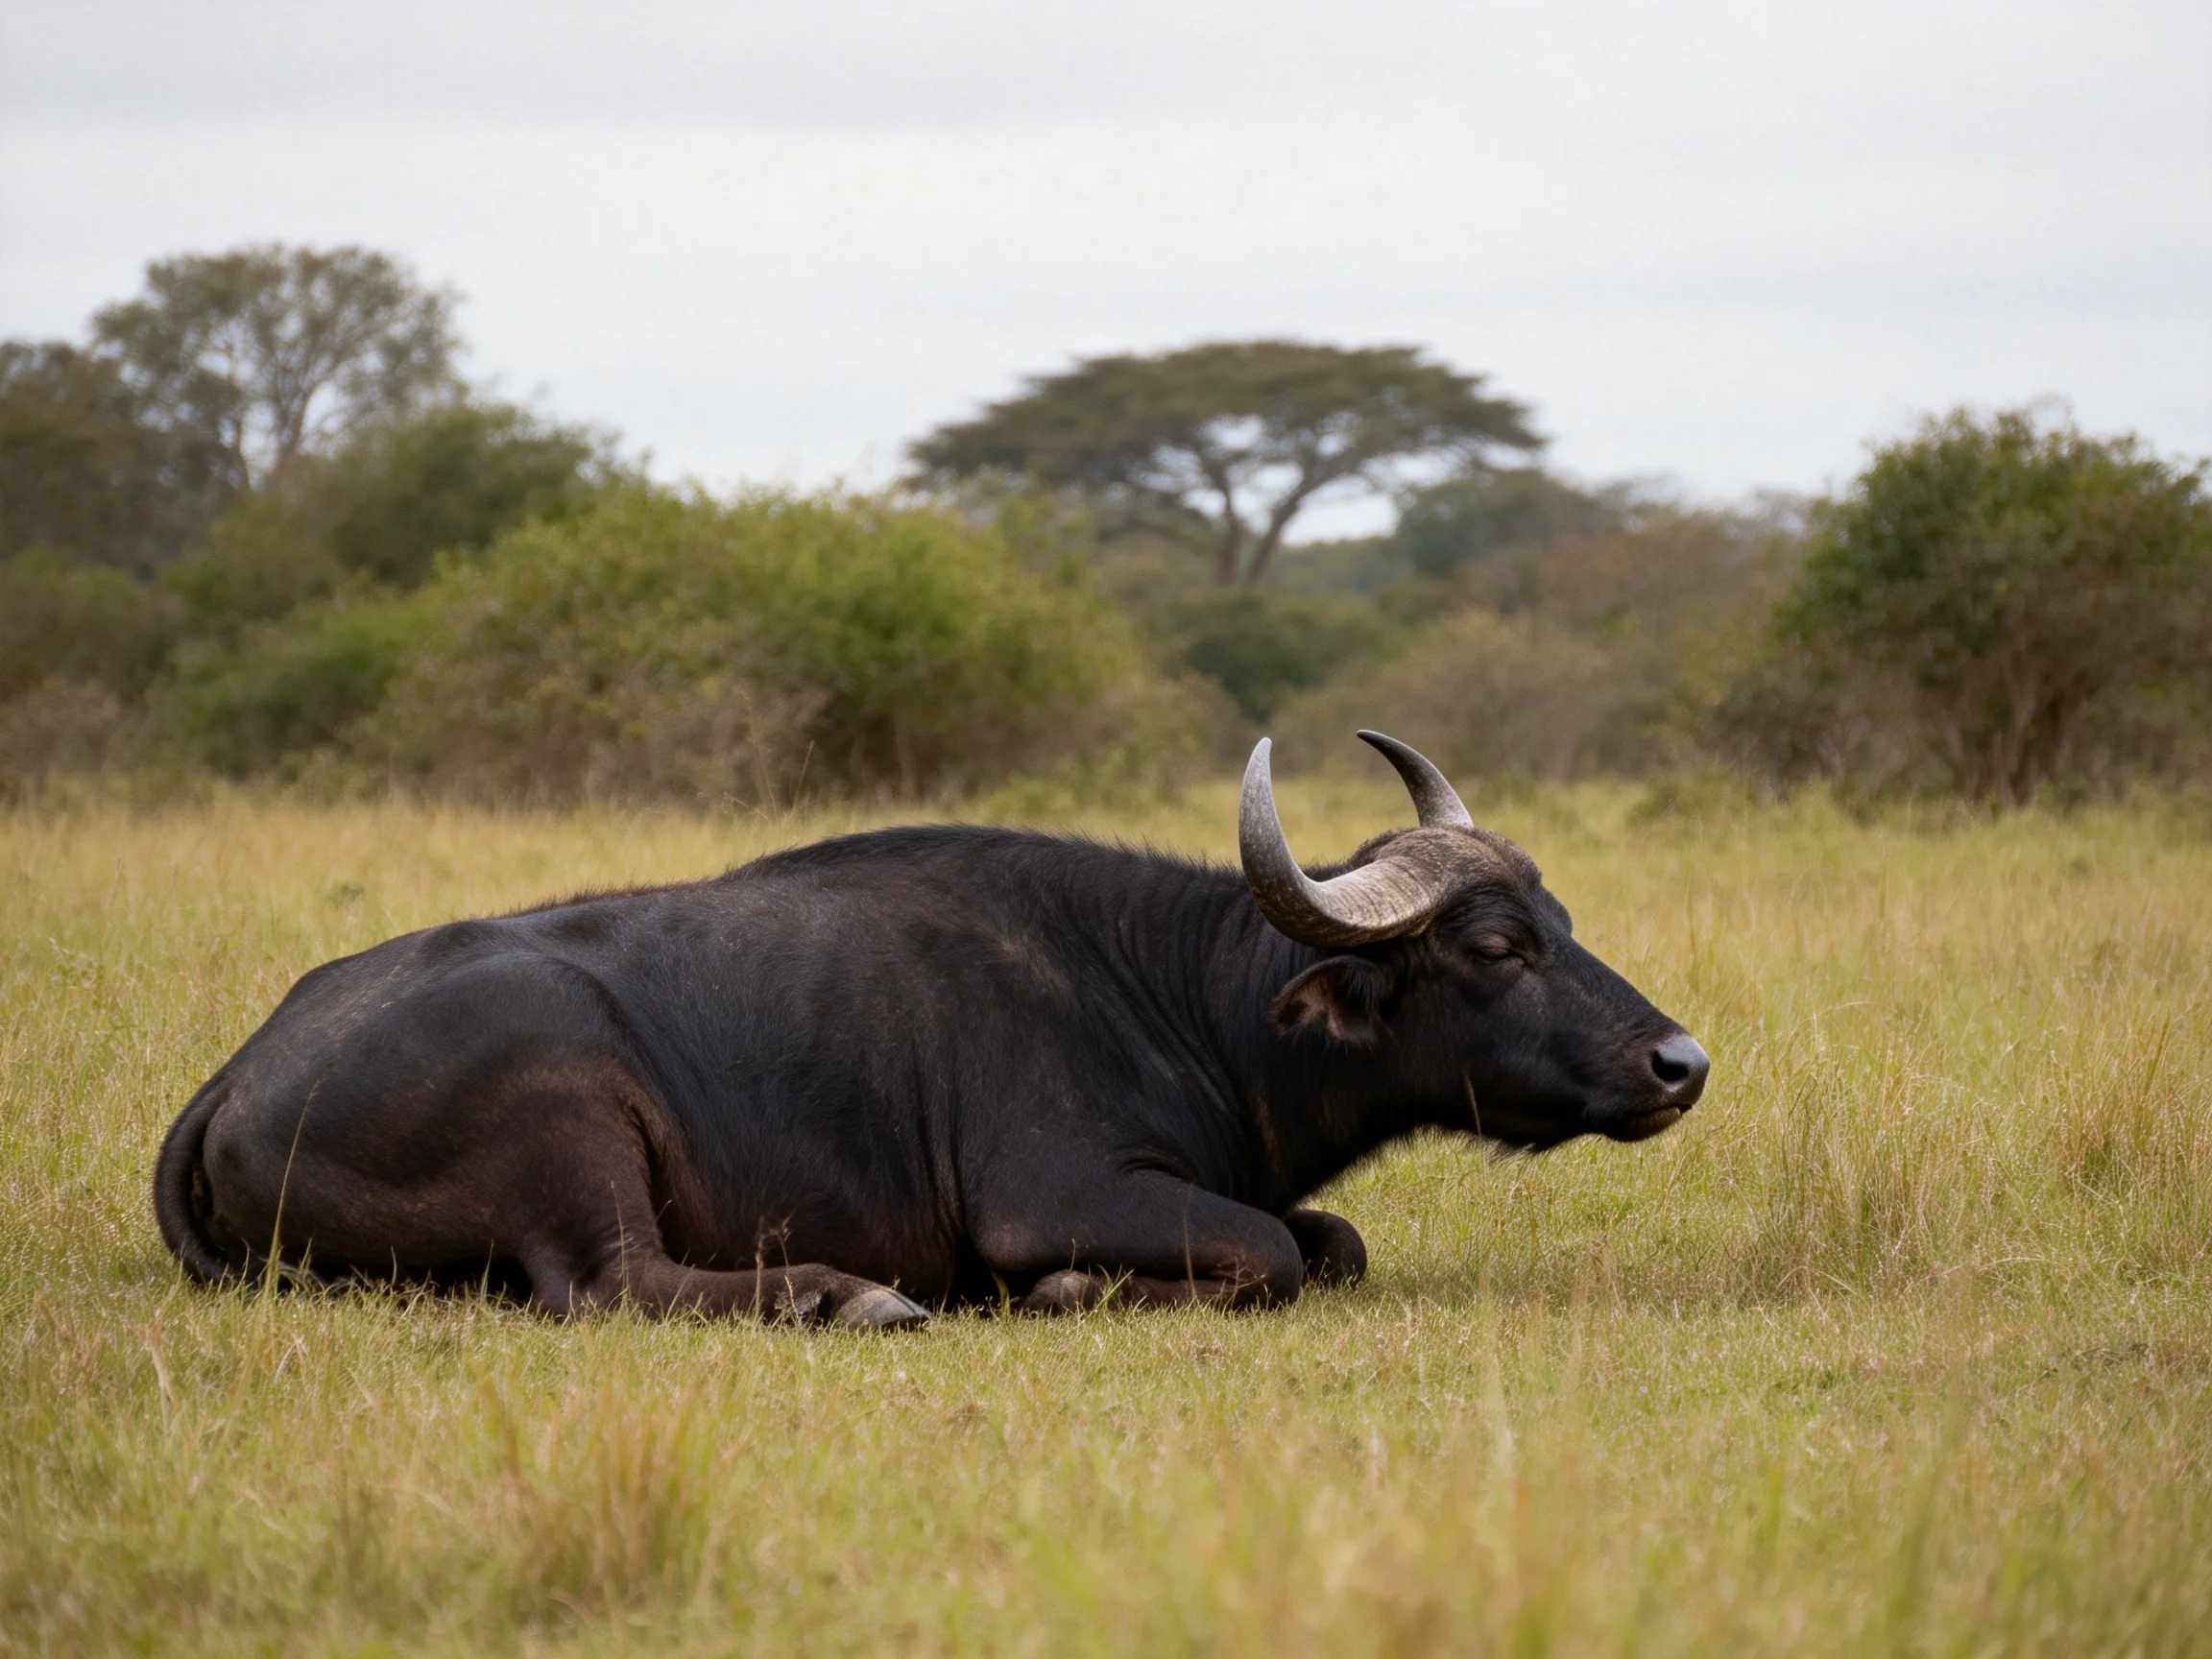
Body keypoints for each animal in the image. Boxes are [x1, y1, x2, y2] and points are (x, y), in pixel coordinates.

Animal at [155, 731, 1707, 1327]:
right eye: (1495, 949)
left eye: (1560, 917)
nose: (1679, 1063)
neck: (1177, 1000)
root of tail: (237, 1075)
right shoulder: (1054, 1195)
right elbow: (1272, 1251)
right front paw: (1071, 1293)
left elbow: (1332, 1241)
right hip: (570, 1115)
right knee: (615, 1286)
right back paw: (849, 1297)